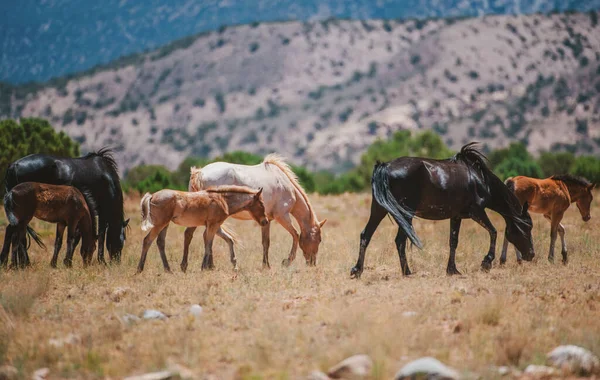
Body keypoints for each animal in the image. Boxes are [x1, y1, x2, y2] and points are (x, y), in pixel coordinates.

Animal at [1, 146, 129, 268]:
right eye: (121, 241)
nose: (116, 263)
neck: (106, 177)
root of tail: (13, 166)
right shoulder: (99, 213)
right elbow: (97, 236)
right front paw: (101, 261)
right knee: (18, 235)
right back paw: (22, 263)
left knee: (14, 233)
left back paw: (12, 263)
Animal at [137, 185, 268, 272]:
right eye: (262, 204)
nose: (265, 221)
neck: (223, 200)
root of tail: (152, 196)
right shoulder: (213, 225)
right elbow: (208, 245)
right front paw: (204, 267)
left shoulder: (216, 226)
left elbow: (228, 240)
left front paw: (235, 265)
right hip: (160, 224)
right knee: (147, 240)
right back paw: (140, 269)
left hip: (165, 224)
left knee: (160, 242)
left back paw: (168, 270)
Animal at [189, 154, 326, 268]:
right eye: (319, 239)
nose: (312, 263)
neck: (287, 187)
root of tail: (199, 173)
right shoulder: (282, 216)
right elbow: (296, 235)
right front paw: (286, 261)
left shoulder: (267, 220)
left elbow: (266, 242)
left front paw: (266, 265)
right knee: (208, 235)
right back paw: (209, 265)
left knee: (206, 235)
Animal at [352, 142, 536, 280]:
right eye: (527, 227)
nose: (531, 255)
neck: (481, 180)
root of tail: (384, 166)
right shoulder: (477, 212)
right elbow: (493, 231)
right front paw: (486, 262)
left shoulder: (456, 216)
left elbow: (453, 241)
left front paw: (452, 269)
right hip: (405, 214)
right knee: (399, 241)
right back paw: (407, 272)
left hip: (379, 210)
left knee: (366, 235)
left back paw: (357, 270)